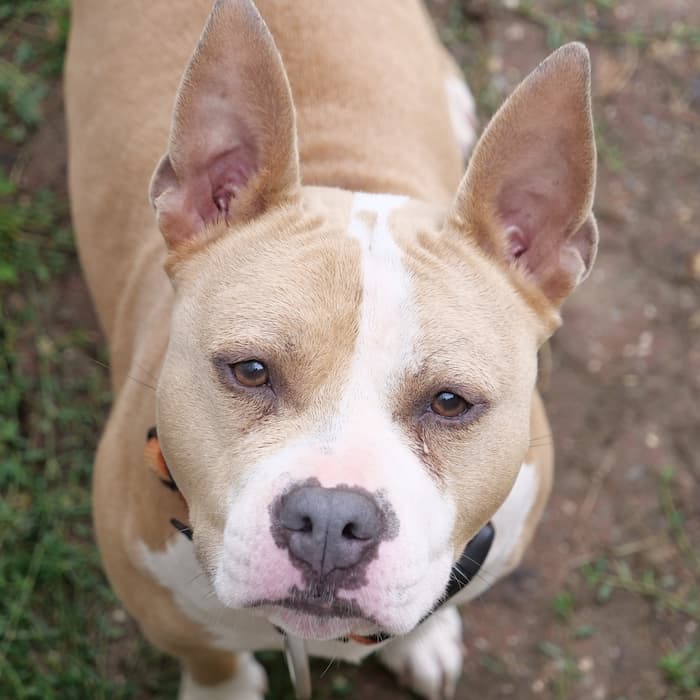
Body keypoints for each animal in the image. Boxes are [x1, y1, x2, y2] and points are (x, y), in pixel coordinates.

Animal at [65, 1, 596, 700]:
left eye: (450, 402)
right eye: (250, 371)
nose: (329, 520)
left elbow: (434, 604)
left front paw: (424, 640)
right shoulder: (152, 593)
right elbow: (210, 657)